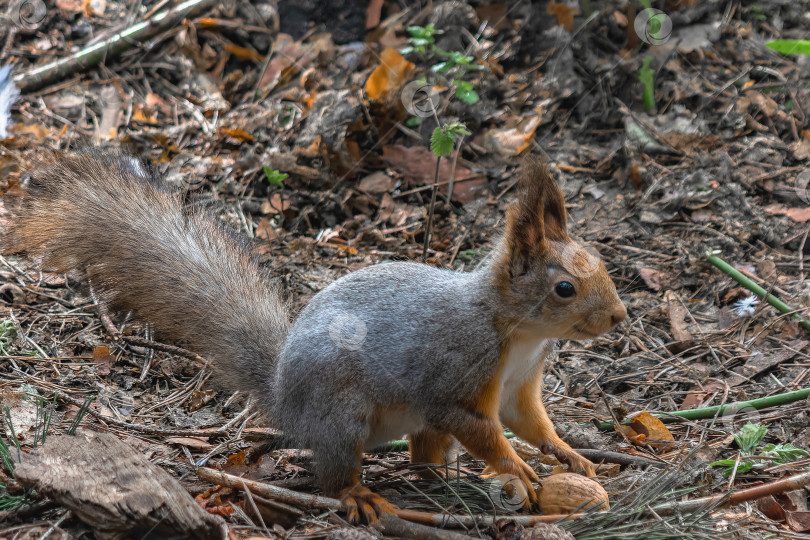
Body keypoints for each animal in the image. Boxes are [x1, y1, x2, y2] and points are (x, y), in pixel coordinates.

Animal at [1, 148, 624, 524]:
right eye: (565, 288)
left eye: (598, 261)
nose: (618, 318)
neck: (514, 330)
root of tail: (284, 401)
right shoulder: (458, 371)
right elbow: (477, 425)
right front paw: (516, 467)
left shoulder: (521, 384)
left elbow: (531, 422)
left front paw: (569, 456)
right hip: (340, 411)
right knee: (334, 472)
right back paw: (360, 494)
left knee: (423, 455)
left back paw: (443, 482)